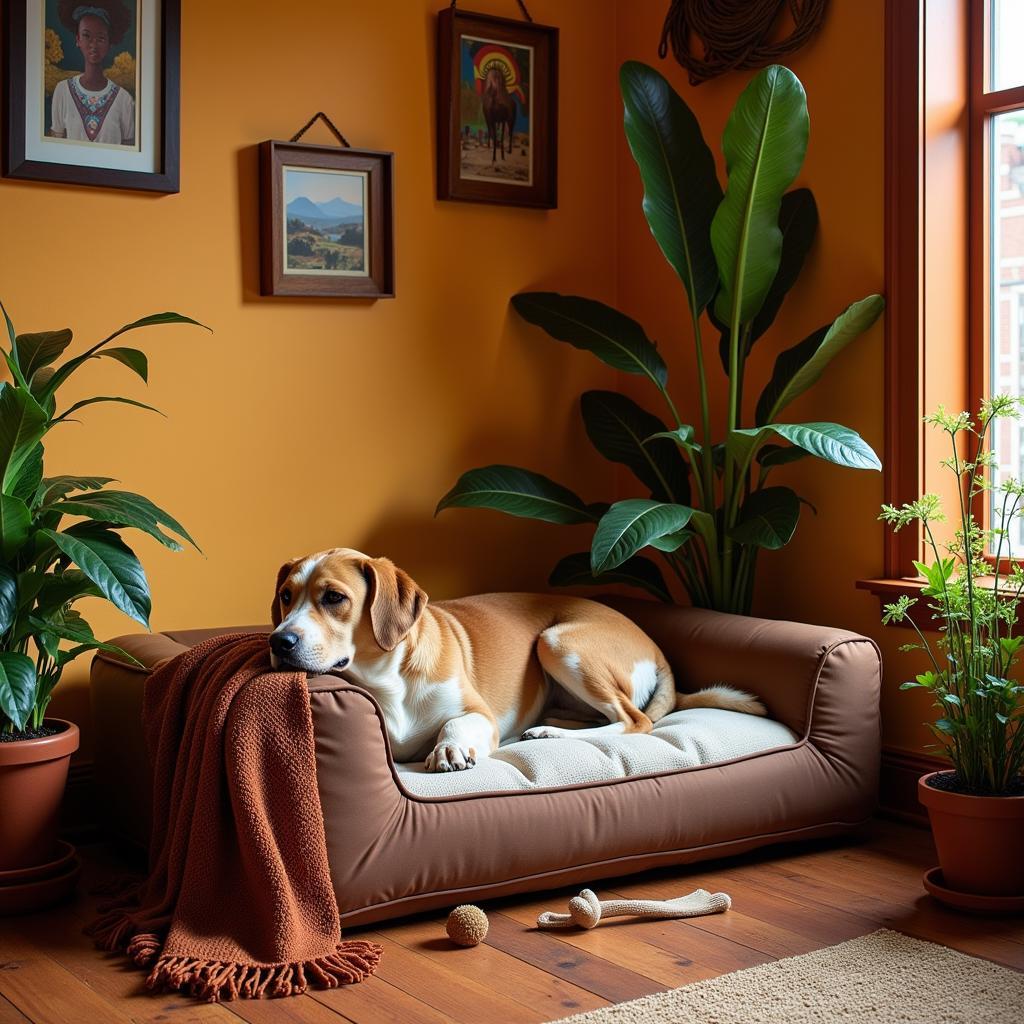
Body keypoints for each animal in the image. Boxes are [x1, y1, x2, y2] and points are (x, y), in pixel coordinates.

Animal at [268, 548, 765, 770]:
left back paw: (549, 734)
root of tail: (657, 648)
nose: (279, 641)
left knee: (634, 720)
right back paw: (547, 728)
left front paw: (448, 748)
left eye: (334, 598)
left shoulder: (478, 714)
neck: (384, 678)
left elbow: (454, 725)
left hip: (556, 642)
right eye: (286, 597)